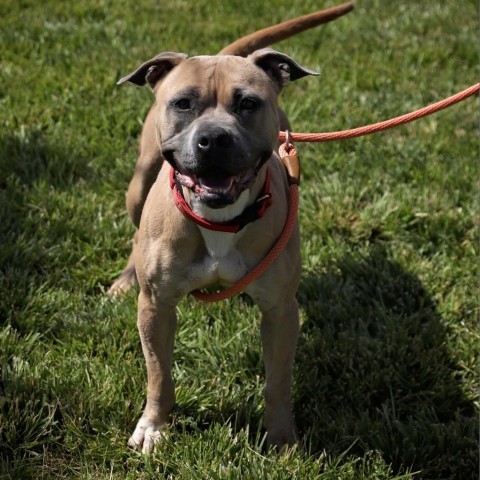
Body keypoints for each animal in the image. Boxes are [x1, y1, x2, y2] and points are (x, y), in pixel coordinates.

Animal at [112, 1, 352, 452]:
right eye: (183, 103)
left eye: (248, 103)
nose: (214, 139)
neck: (219, 221)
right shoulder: (156, 307)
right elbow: (159, 375)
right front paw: (153, 426)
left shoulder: (280, 311)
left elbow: (277, 383)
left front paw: (281, 439)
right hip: (138, 185)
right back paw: (124, 279)